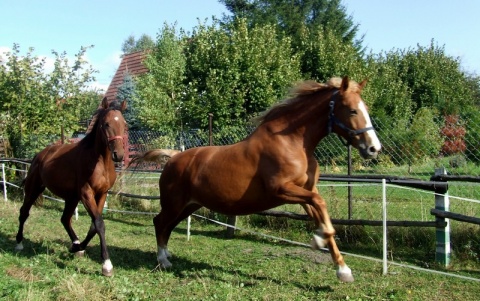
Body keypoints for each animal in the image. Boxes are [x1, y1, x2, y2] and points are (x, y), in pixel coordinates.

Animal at [15, 97, 126, 276]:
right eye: (106, 124)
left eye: (124, 124)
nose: (119, 155)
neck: (99, 162)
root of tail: (39, 155)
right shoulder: (86, 193)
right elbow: (99, 224)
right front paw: (106, 265)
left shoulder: (102, 194)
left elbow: (94, 225)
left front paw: (78, 247)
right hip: (34, 189)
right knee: (24, 213)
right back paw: (19, 243)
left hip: (71, 197)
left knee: (65, 219)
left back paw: (76, 244)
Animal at [141, 77, 380, 282]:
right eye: (352, 110)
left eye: (366, 109)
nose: (374, 148)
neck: (292, 143)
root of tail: (173, 157)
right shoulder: (281, 189)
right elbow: (322, 208)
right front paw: (319, 238)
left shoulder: (306, 192)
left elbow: (321, 212)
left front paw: (343, 270)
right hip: (174, 204)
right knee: (159, 222)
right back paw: (163, 261)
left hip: (189, 206)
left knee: (167, 226)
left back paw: (167, 256)